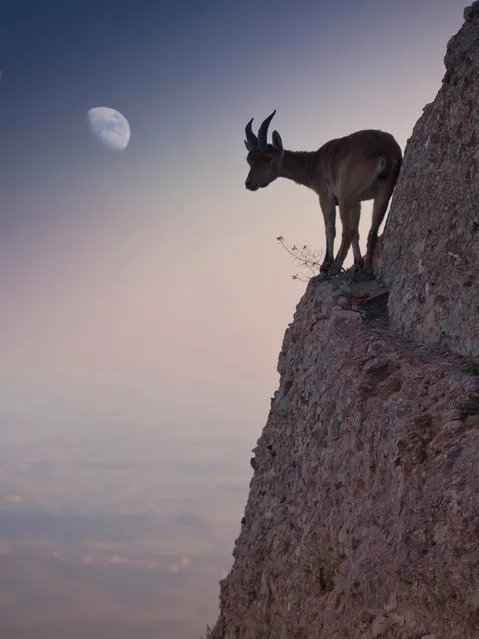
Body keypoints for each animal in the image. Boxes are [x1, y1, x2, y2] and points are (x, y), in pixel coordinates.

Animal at [244, 110, 402, 276]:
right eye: (249, 159)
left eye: (267, 158)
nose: (248, 183)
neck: (314, 163)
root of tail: (385, 153)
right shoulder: (357, 201)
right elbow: (357, 232)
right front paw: (358, 264)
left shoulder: (326, 196)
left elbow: (330, 229)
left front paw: (325, 265)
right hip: (384, 192)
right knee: (372, 231)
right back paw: (367, 271)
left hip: (346, 195)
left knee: (348, 230)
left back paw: (335, 268)